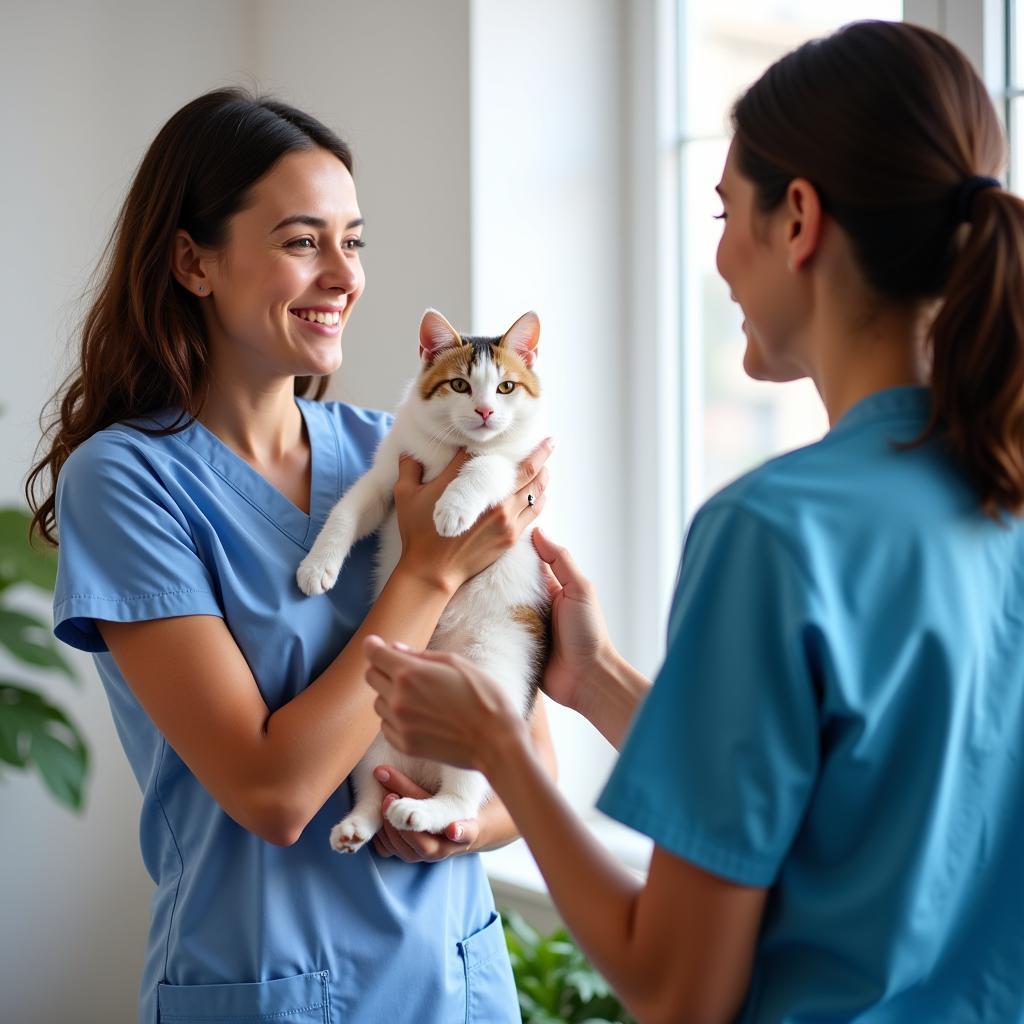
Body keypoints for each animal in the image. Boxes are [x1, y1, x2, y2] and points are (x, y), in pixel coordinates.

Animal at [296, 307, 552, 851]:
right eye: (459, 384)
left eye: (505, 387)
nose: (484, 412)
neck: (453, 447)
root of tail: (425, 770)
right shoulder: (387, 476)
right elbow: (347, 511)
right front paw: (317, 566)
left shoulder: (513, 469)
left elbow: (485, 465)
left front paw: (453, 508)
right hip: (371, 724)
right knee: (374, 786)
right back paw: (357, 824)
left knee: (462, 799)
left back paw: (425, 811)